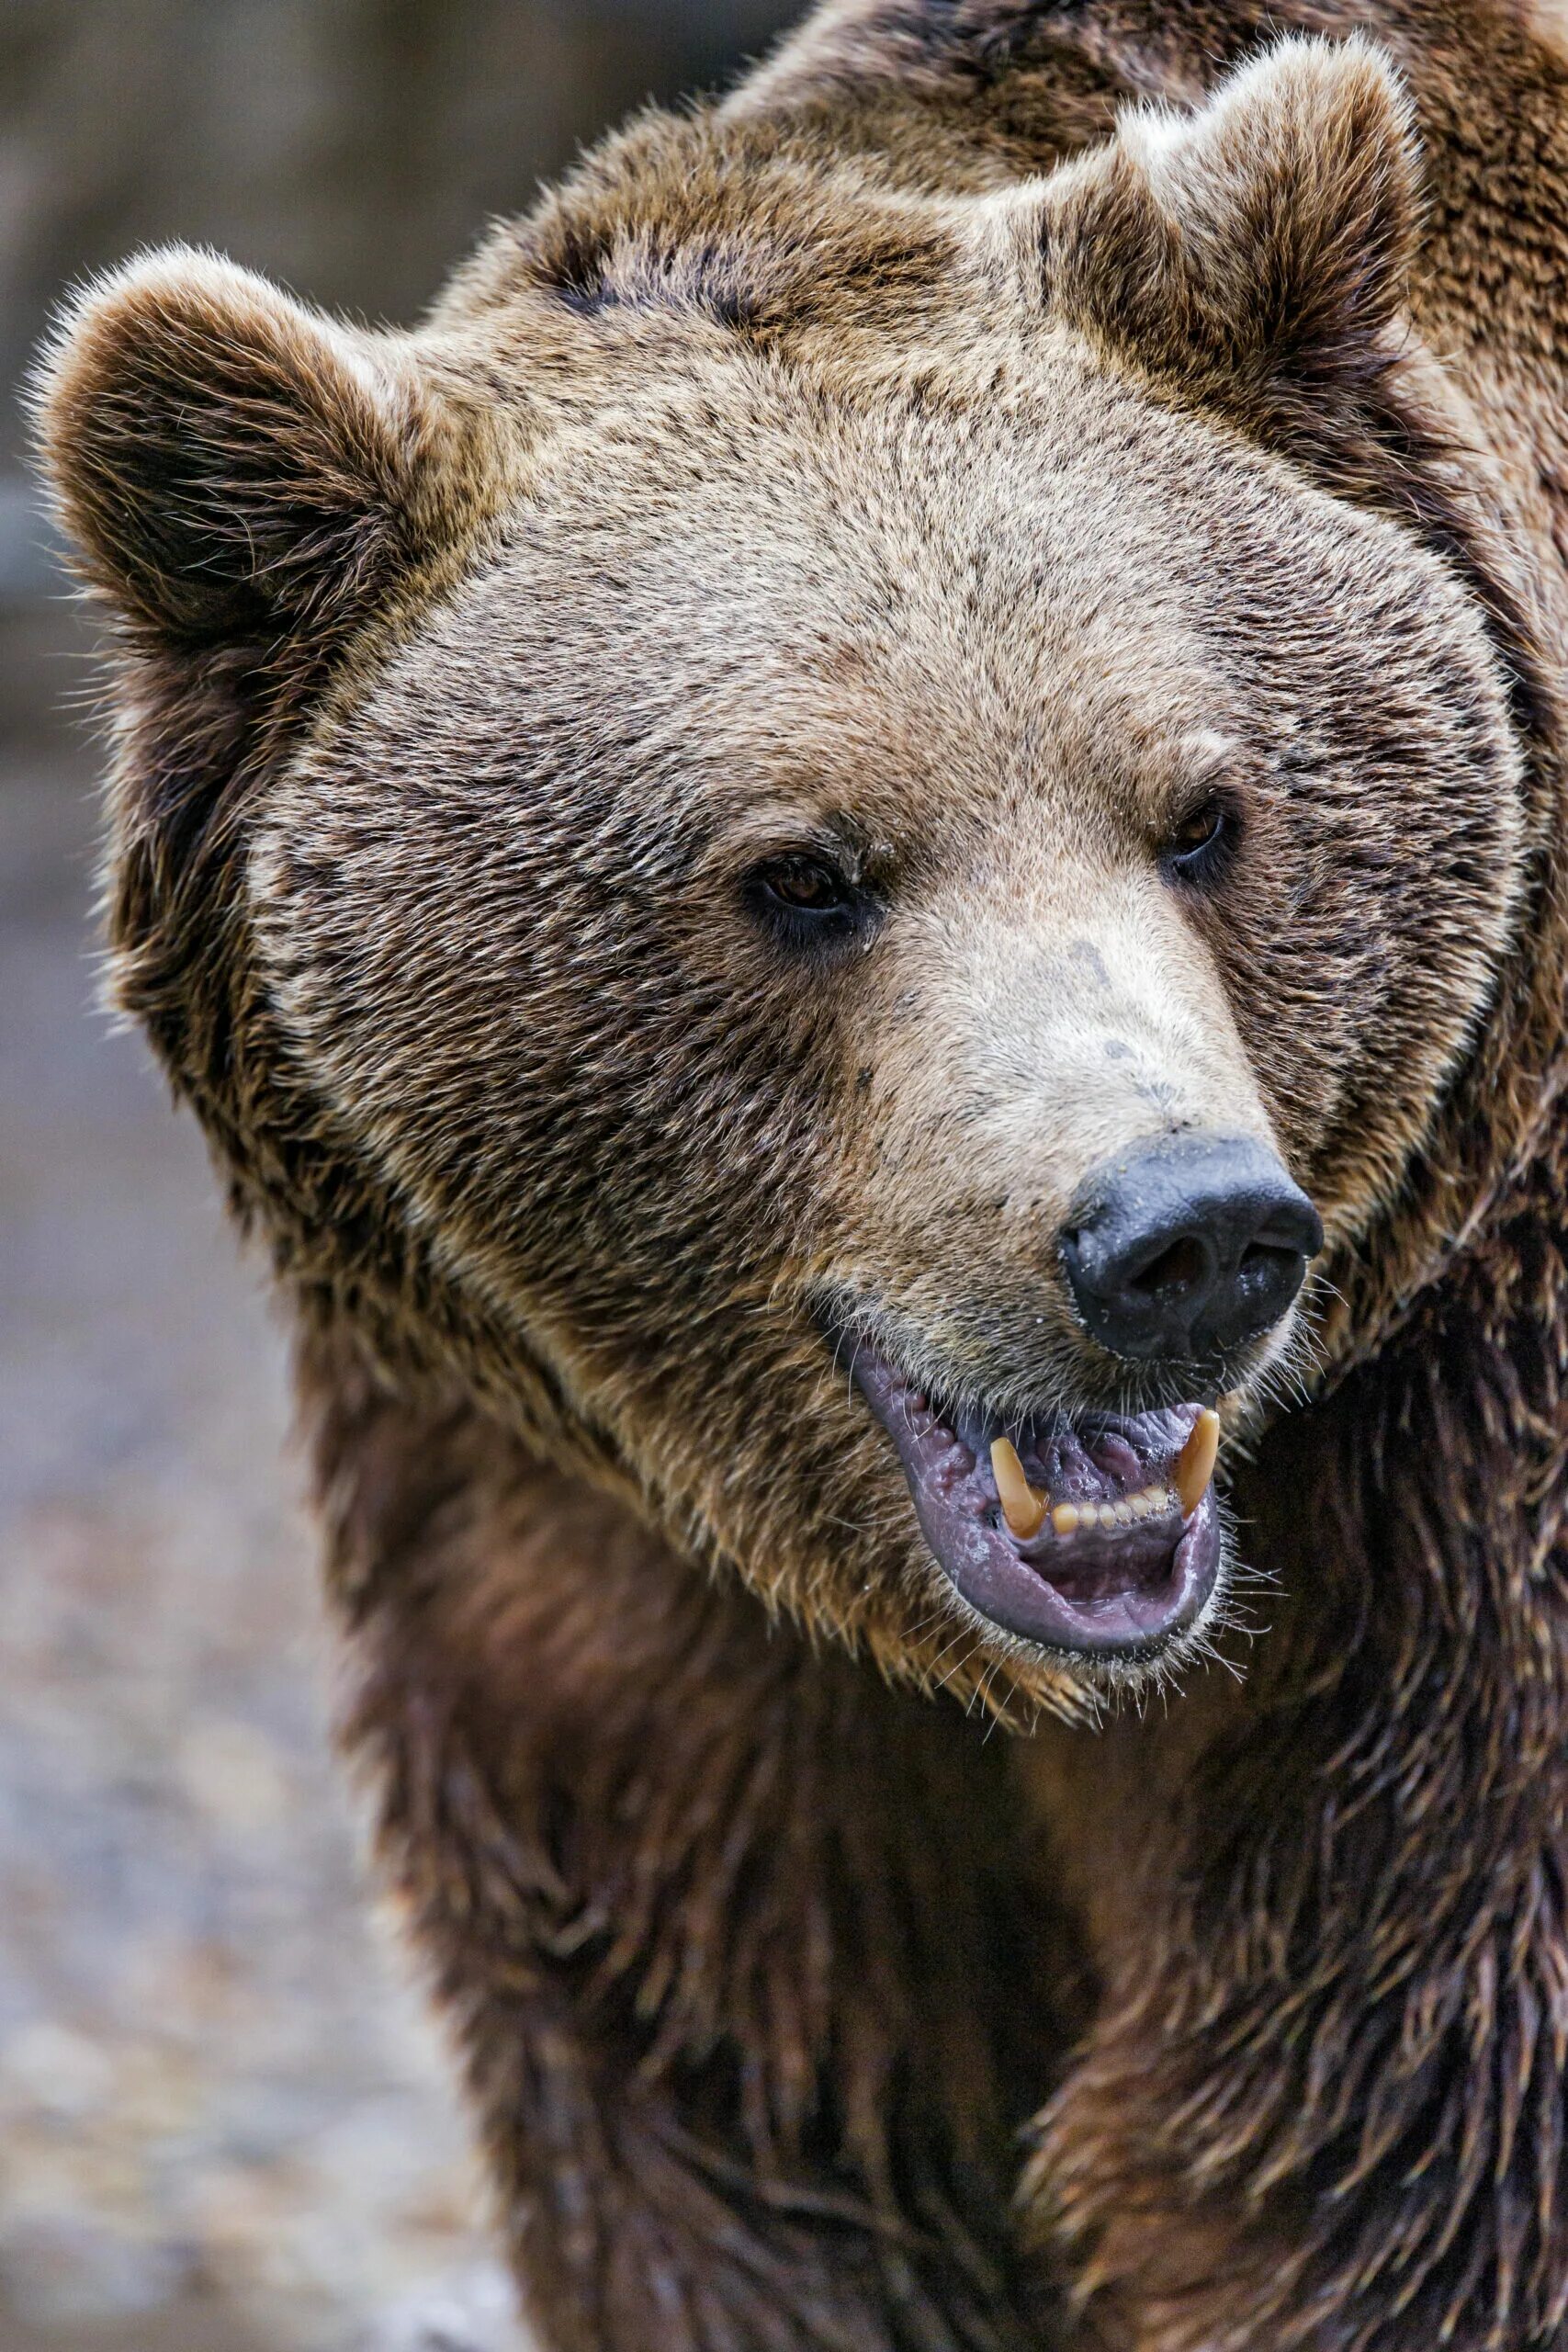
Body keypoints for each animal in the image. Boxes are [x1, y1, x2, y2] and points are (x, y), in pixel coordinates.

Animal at [28, 5, 1568, 2352]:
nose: (1176, 1234)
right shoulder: (604, 1595)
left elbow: (1386, 2154)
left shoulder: (1448, 1540)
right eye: (801, 872)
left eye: (1203, 812)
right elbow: (761, 2149)